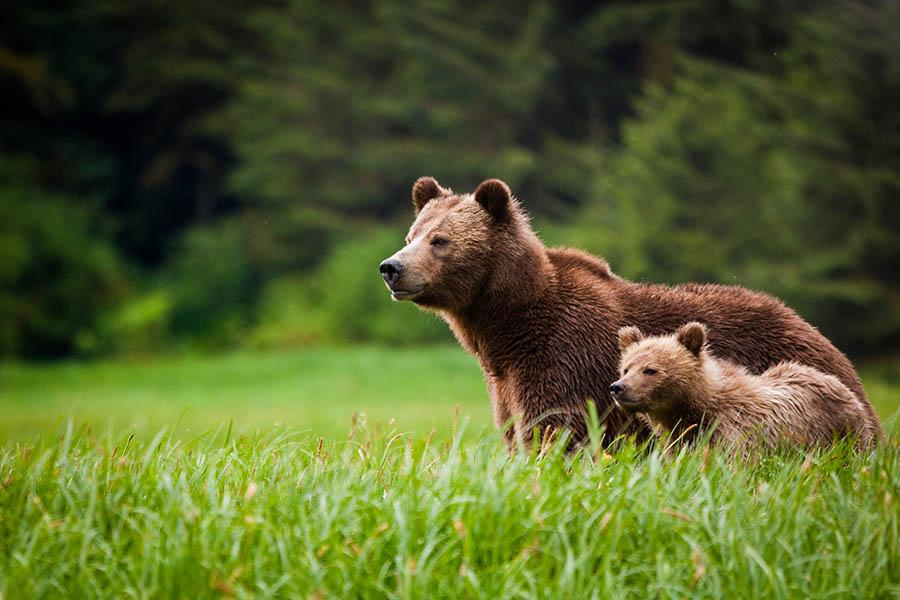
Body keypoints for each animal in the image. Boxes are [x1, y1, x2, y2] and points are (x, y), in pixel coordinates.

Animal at [610, 322, 878, 452]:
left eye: (650, 370)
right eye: (626, 368)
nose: (618, 387)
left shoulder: (736, 430)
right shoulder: (678, 439)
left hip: (845, 431)